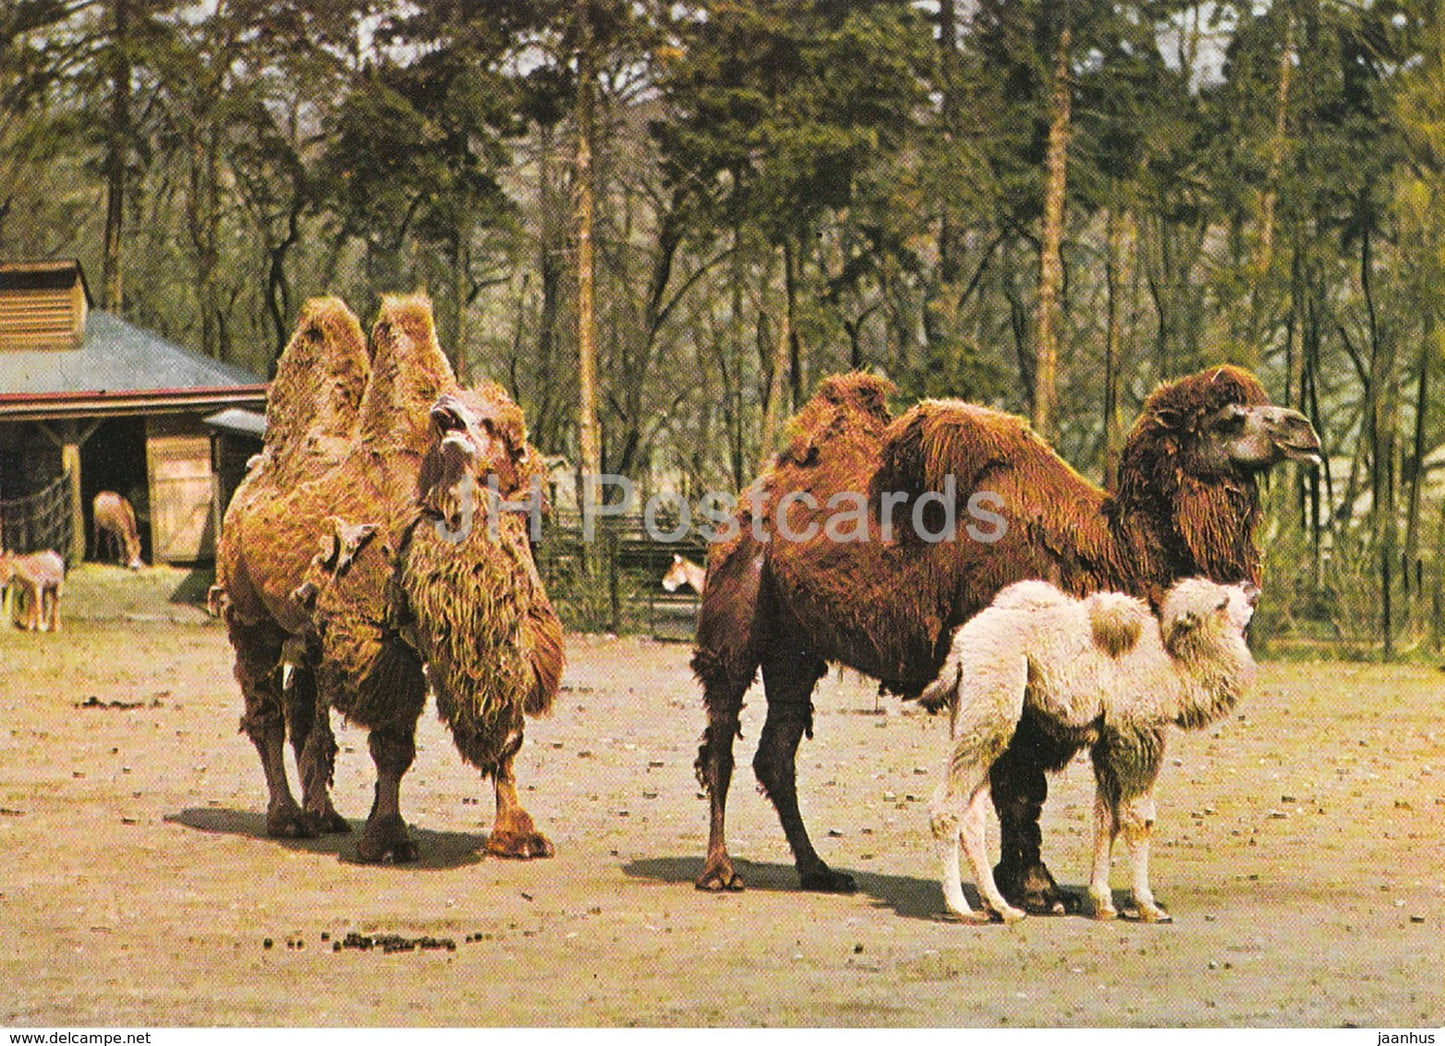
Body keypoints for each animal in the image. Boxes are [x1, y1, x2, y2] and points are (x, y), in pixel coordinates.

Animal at [216, 296, 560, 866]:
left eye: (497, 424)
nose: (447, 410)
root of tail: (248, 489)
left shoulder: (512, 638)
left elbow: (506, 733)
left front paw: (519, 834)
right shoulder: (377, 639)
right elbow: (392, 745)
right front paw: (389, 839)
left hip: (309, 634)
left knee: (307, 715)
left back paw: (323, 814)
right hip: (251, 618)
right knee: (267, 714)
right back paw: (287, 817)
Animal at [924, 580, 1254, 924]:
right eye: (1221, 601)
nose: (1249, 587)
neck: (1173, 666)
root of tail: (960, 650)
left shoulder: (1108, 742)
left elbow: (1107, 819)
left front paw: (1103, 903)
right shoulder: (1137, 732)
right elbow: (1138, 818)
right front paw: (1148, 906)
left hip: (970, 714)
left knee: (972, 814)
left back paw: (1004, 908)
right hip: (991, 705)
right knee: (948, 807)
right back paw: (962, 908)